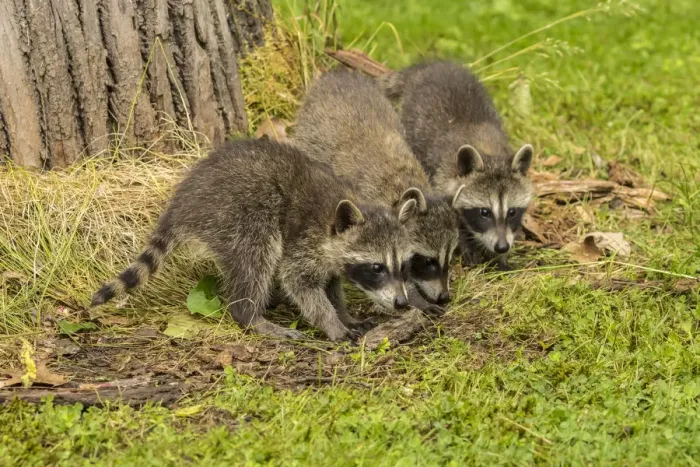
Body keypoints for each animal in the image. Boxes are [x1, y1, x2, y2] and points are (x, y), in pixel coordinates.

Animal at [90, 139, 420, 342]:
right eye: (377, 268)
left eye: (404, 266)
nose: (402, 303)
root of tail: (181, 202)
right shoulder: (304, 239)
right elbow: (299, 283)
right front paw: (331, 322)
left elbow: (331, 285)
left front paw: (344, 314)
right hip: (238, 211)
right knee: (257, 255)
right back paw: (250, 316)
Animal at [292, 70, 462, 314]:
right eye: (428, 261)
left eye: (448, 259)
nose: (444, 297)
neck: (401, 186)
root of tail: (338, 75)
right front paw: (415, 297)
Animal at [380, 60, 534, 269]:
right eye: (484, 212)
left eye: (512, 212)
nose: (501, 247)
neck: (489, 152)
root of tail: (426, 67)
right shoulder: (441, 176)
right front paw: (466, 245)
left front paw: (501, 257)